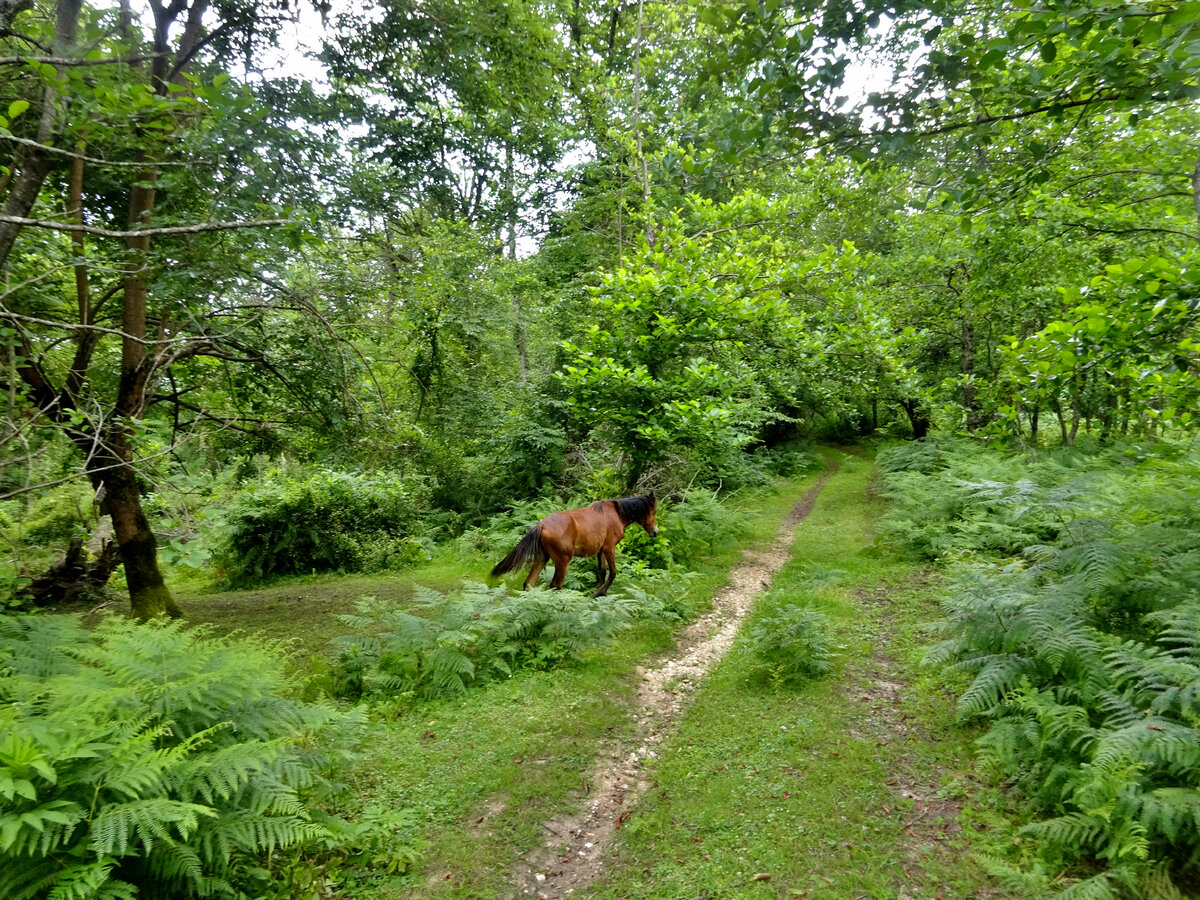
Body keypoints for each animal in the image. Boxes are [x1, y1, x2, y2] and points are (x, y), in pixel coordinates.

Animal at [487, 494, 657, 600]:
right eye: (654, 511)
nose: (655, 532)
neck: (617, 513)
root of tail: (541, 525)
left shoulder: (601, 550)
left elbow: (602, 571)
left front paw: (600, 594)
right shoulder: (609, 548)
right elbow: (613, 573)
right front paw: (599, 593)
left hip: (542, 558)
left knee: (529, 583)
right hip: (562, 562)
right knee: (555, 585)